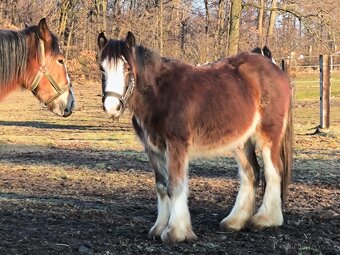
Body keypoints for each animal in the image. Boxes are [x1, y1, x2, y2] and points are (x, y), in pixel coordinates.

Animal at [97, 31, 292, 243]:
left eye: (127, 68)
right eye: (102, 68)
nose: (112, 107)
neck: (160, 94)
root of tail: (275, 69)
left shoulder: (176, 146)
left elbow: (175, 186)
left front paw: (176, 232)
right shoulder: (153, 149)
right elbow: (162, 186)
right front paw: (158, 228)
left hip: (268, 135)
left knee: (273, 172)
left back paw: (266, 219)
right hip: (241, 141)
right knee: (251, 173)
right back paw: (235, 221)